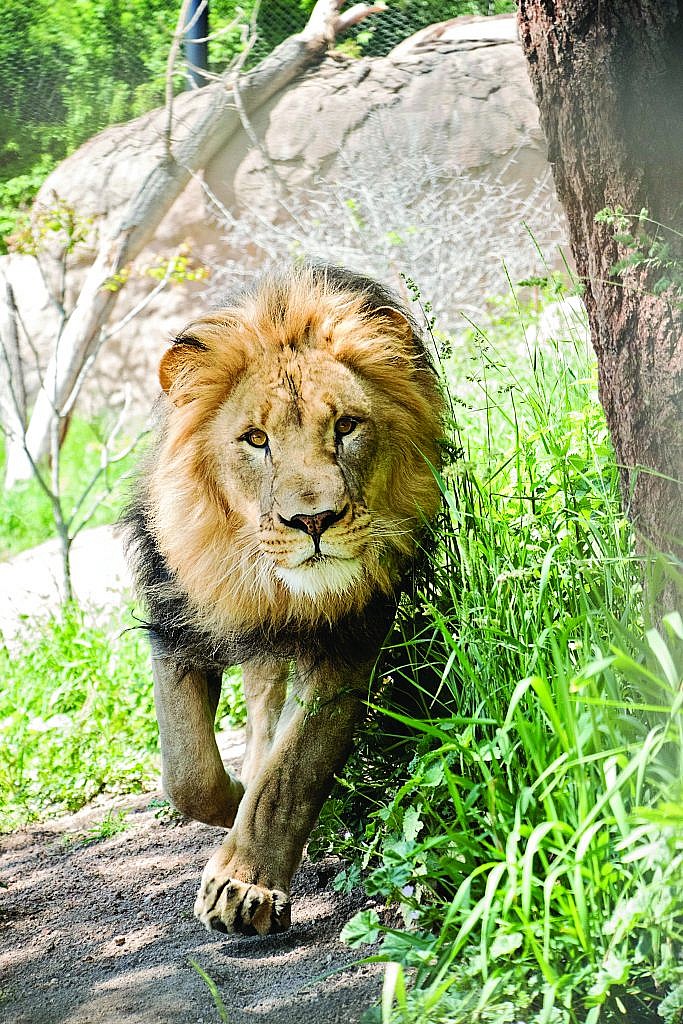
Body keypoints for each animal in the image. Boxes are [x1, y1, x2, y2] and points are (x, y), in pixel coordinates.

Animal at [123, 264, 444, 936]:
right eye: (255, 439)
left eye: (346, 426)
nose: (314, 520)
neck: (276, 592)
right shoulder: (176, 619)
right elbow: (186, 771)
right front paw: (228, 808)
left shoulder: (351, 640)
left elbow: (295, 766)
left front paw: (244, 885)